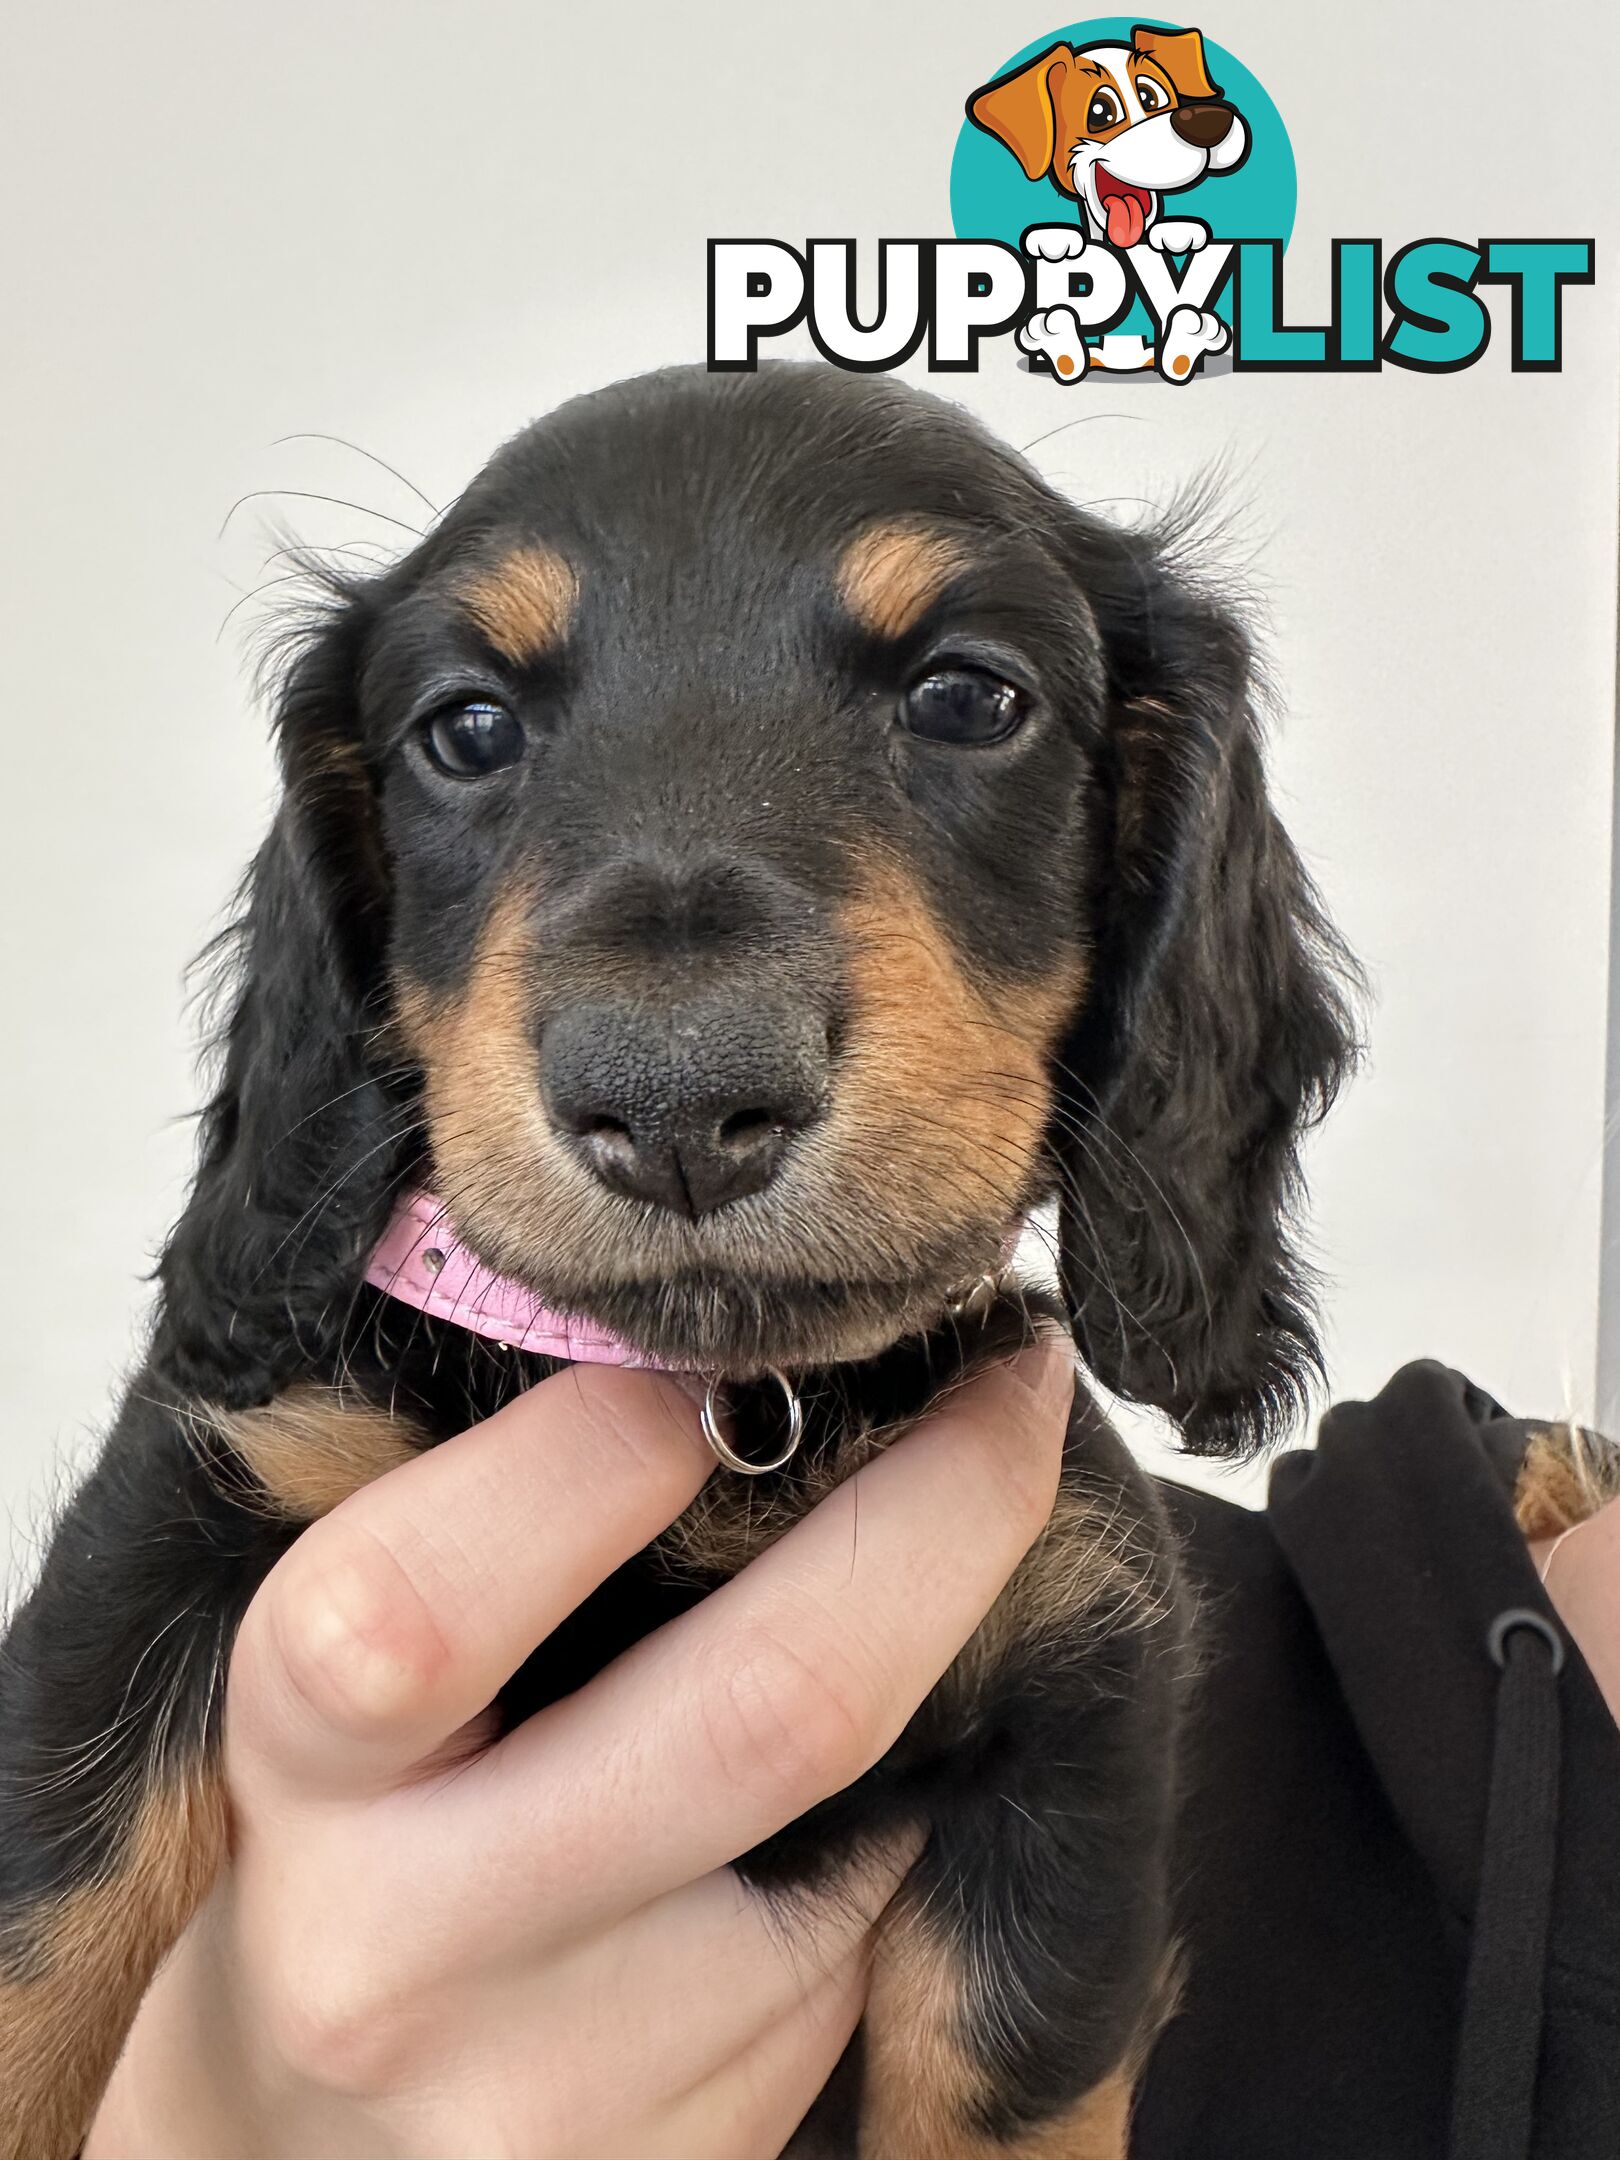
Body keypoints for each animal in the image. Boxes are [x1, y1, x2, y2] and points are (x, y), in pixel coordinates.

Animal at [0, 362, 1356, 2151]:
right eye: (467, 729)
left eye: (968, 697)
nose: (677, 1097)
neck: (736, 1408)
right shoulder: (165, 1531)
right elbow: (38, 1936)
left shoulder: (1081, 1700)